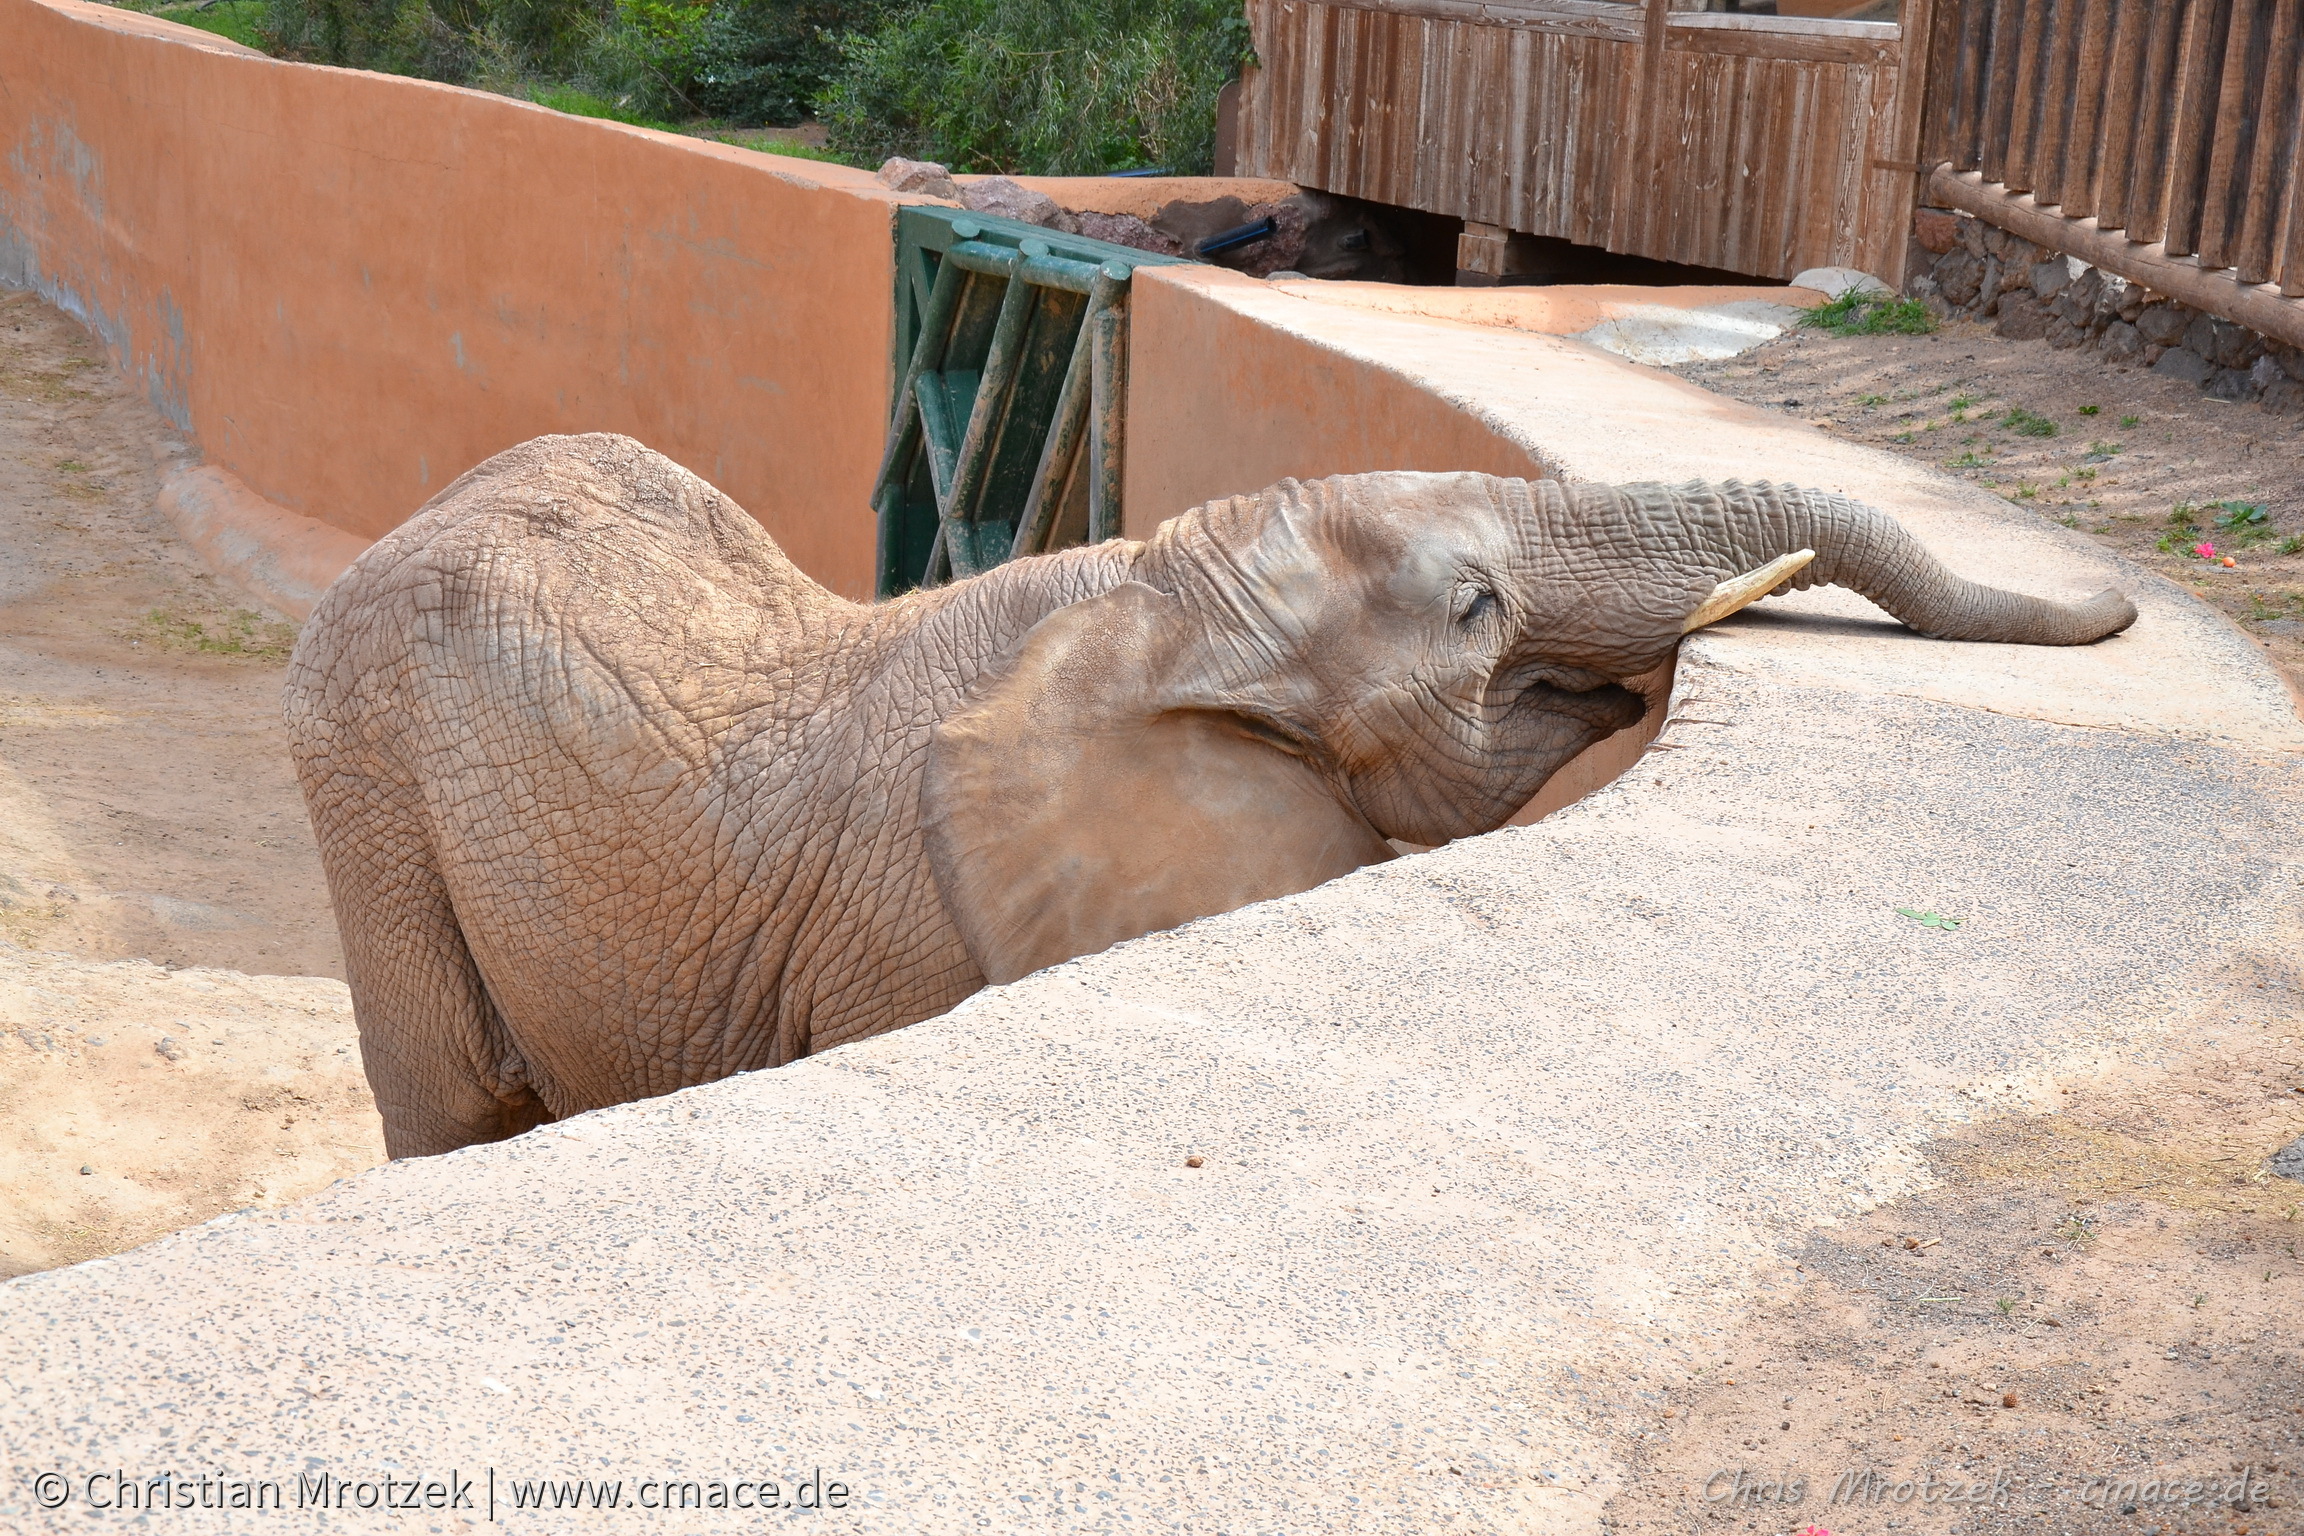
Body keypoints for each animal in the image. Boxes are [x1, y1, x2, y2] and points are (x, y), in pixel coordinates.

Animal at [292, 432, 2138, 1151]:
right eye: (1477, 609)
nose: (2123, 611)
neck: (1153, 597)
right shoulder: (921, 935)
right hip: (358, 781)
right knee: (453, 1102)